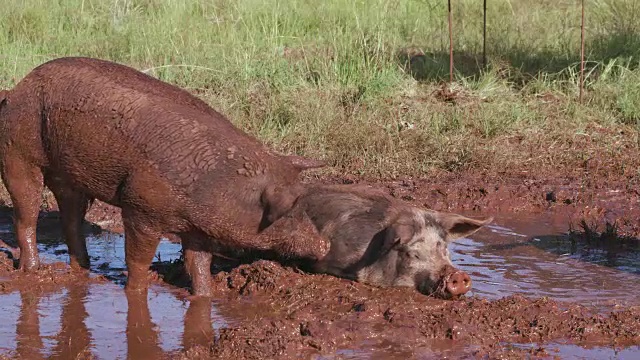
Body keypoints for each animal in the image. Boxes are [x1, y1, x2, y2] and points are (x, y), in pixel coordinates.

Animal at [0, 57, 330, 296]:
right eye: (288, 212)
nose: (325, 244)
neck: (216, 184)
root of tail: (17, 88)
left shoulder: (198, 228)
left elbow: (199, 263)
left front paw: (206, 296)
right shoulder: (140, 207)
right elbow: (138, 258)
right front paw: (135, 292)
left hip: (70, 178)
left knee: (71, 218)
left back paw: (81, 269)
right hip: (17, 151)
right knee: (26, 213)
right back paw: (31, 270)